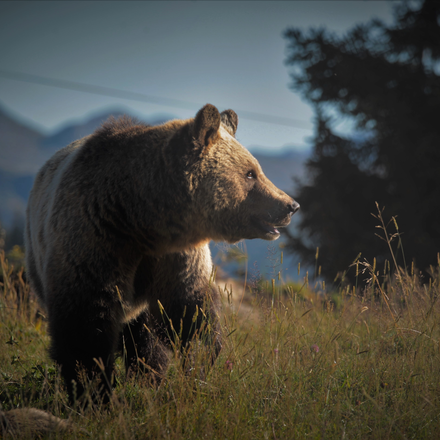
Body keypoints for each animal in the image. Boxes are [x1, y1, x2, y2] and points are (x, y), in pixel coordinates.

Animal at [24, 103, 300, 402]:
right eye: (250, 173)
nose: (290, 205)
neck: (139, 218)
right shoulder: (95, 239)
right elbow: (85, 330)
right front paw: (93, 392)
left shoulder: (176, 259)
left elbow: (190, 313)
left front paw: (196, 369)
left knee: (145, 339)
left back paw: (147, 377)